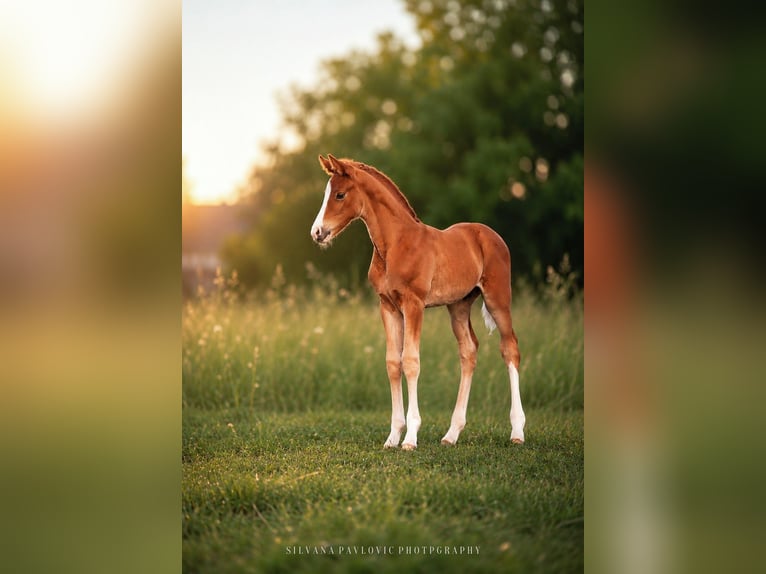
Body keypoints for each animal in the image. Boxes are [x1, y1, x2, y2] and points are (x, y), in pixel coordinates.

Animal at [310, 154, 525, 450]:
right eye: (325, 193)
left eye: (340, 195)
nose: (317, 232)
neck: (396, 244)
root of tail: (490, 235)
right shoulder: (388, 306)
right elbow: (393, 363)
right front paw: (392, 437)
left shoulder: (414, 305)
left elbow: (410, 361)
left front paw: (410, 437)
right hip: (458, 305)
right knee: (469, 351)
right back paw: (451, 434)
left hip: (498, 298)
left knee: (510, 348)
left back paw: (517, 431)